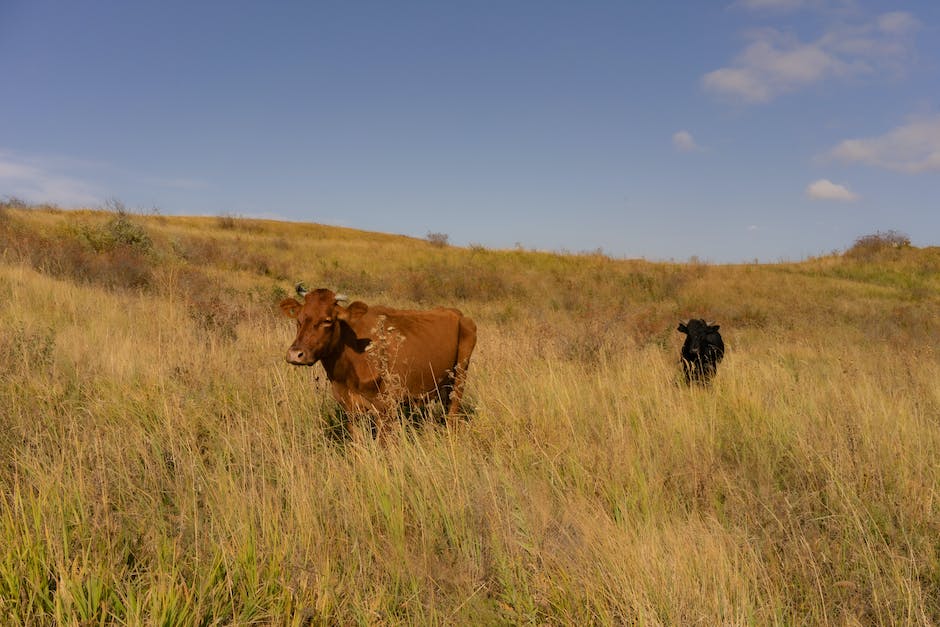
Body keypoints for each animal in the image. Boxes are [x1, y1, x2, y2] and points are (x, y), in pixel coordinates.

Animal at [276, 288, 474, 440]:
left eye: (327, 320)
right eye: (299, 318)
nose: (296, 354)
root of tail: (457, 313)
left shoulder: (385, 407)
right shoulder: (349, 408)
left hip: (459, 377)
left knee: (452, 415)